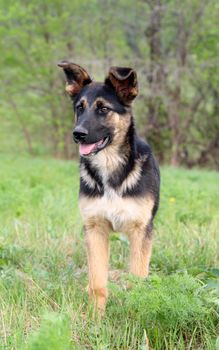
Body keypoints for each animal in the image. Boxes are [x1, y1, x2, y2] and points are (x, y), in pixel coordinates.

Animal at [58, 61, 160, 314]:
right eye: (79, 108)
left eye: (103, 109)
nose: (78, 134)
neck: (110, 167)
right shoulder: (95, 229)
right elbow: (97, 282)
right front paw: (95, 317)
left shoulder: (141, 231)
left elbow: (137, 280)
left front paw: (135, 315)